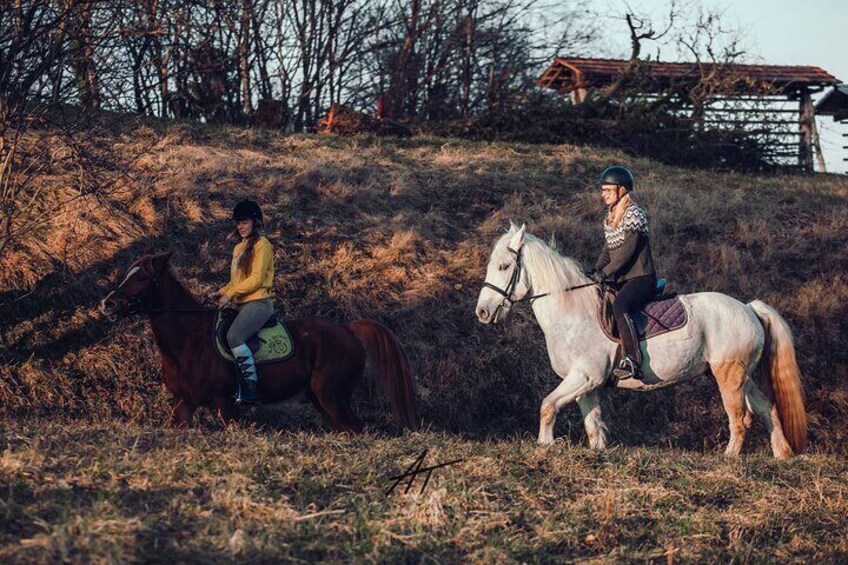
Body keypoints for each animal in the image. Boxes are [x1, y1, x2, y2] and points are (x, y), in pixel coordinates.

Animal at [99, 253, 418, 430]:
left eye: (142, 278)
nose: (108, 304)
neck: (187, 342)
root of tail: (346, 329)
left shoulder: (225, 407)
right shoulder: (183, 405)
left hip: (333, 397)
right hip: (323, 401)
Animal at [476, 223, 808, 456]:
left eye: (504, 267)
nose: (482, 312)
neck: (572, 310)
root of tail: (749, 308)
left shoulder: (584, 375)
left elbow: (547, 405)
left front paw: (545, 444)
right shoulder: (586, 383)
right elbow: (592, 423)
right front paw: (597, 451)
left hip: (729, 375)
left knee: (739, 417)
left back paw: (729, 457)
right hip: (741, 376)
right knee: (767, 408)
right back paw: (782, 454)